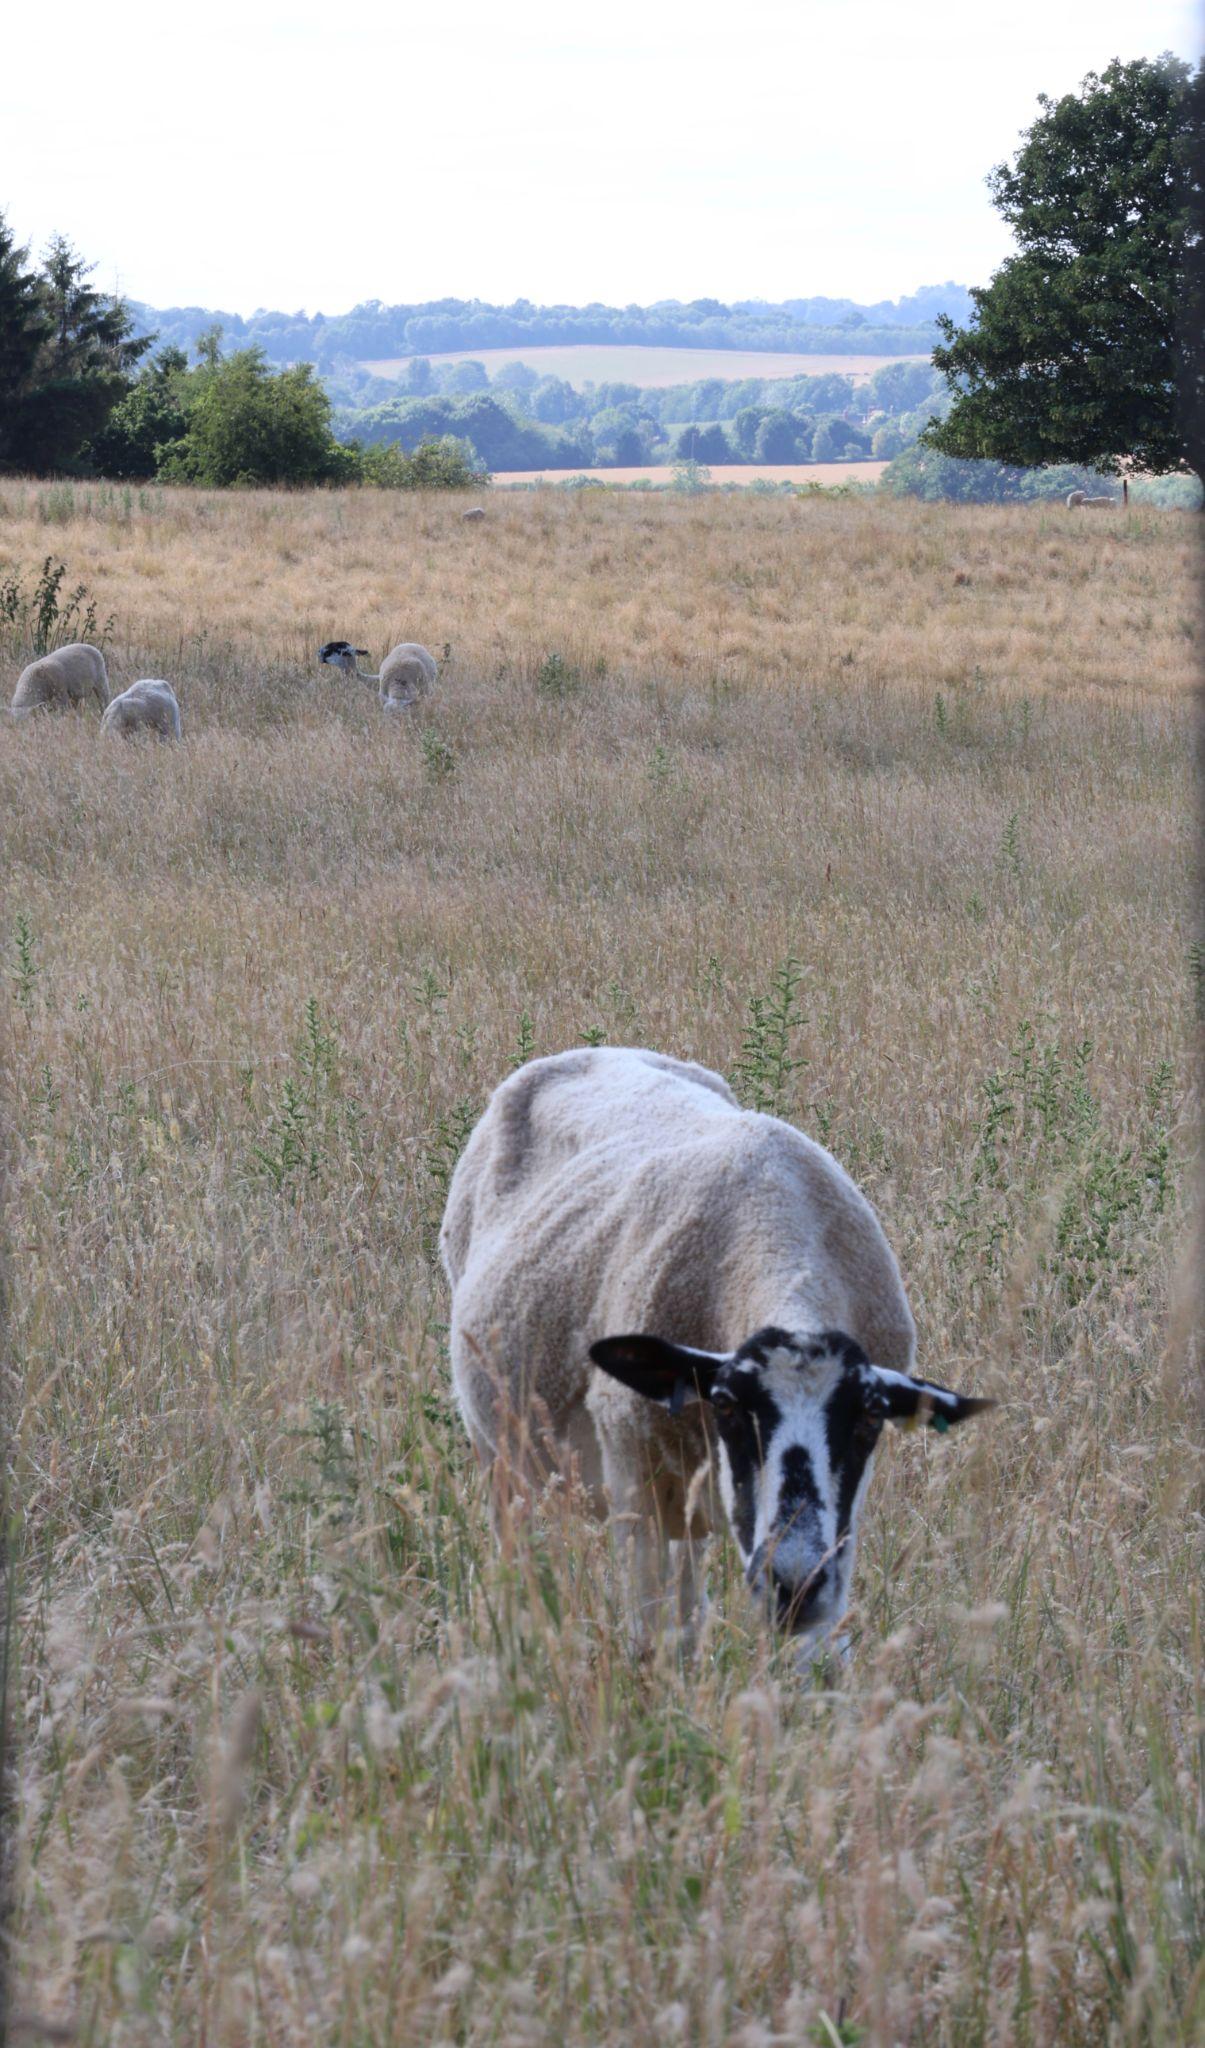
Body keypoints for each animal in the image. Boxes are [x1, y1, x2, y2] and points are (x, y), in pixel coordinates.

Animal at [441, 1047, 991, 1655]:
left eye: (872, 1416)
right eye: (726, 1403)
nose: (793, 1584)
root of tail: (591, 1051)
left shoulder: (841, 1517)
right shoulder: (637, 1483)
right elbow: (654, 1641)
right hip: (498, 1449)